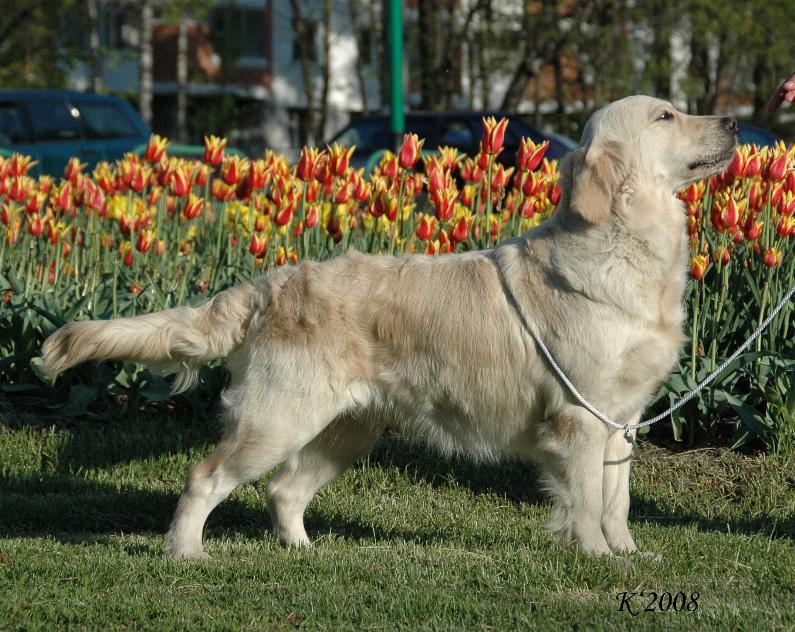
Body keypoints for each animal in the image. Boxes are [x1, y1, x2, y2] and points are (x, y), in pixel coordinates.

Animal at [40, 94, 736, 556]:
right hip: (278, 417)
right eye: (665, 116)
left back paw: (302, 550)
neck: (625, 244)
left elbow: (618, 501)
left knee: (284, 491)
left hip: (345, 428)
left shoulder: (622, 419)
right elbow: (588, 500)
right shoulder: (579, 418)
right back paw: (185, 553)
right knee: (204, 478)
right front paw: (594, 558)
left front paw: (628, 555)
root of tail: (270, 283)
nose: (732, 121)